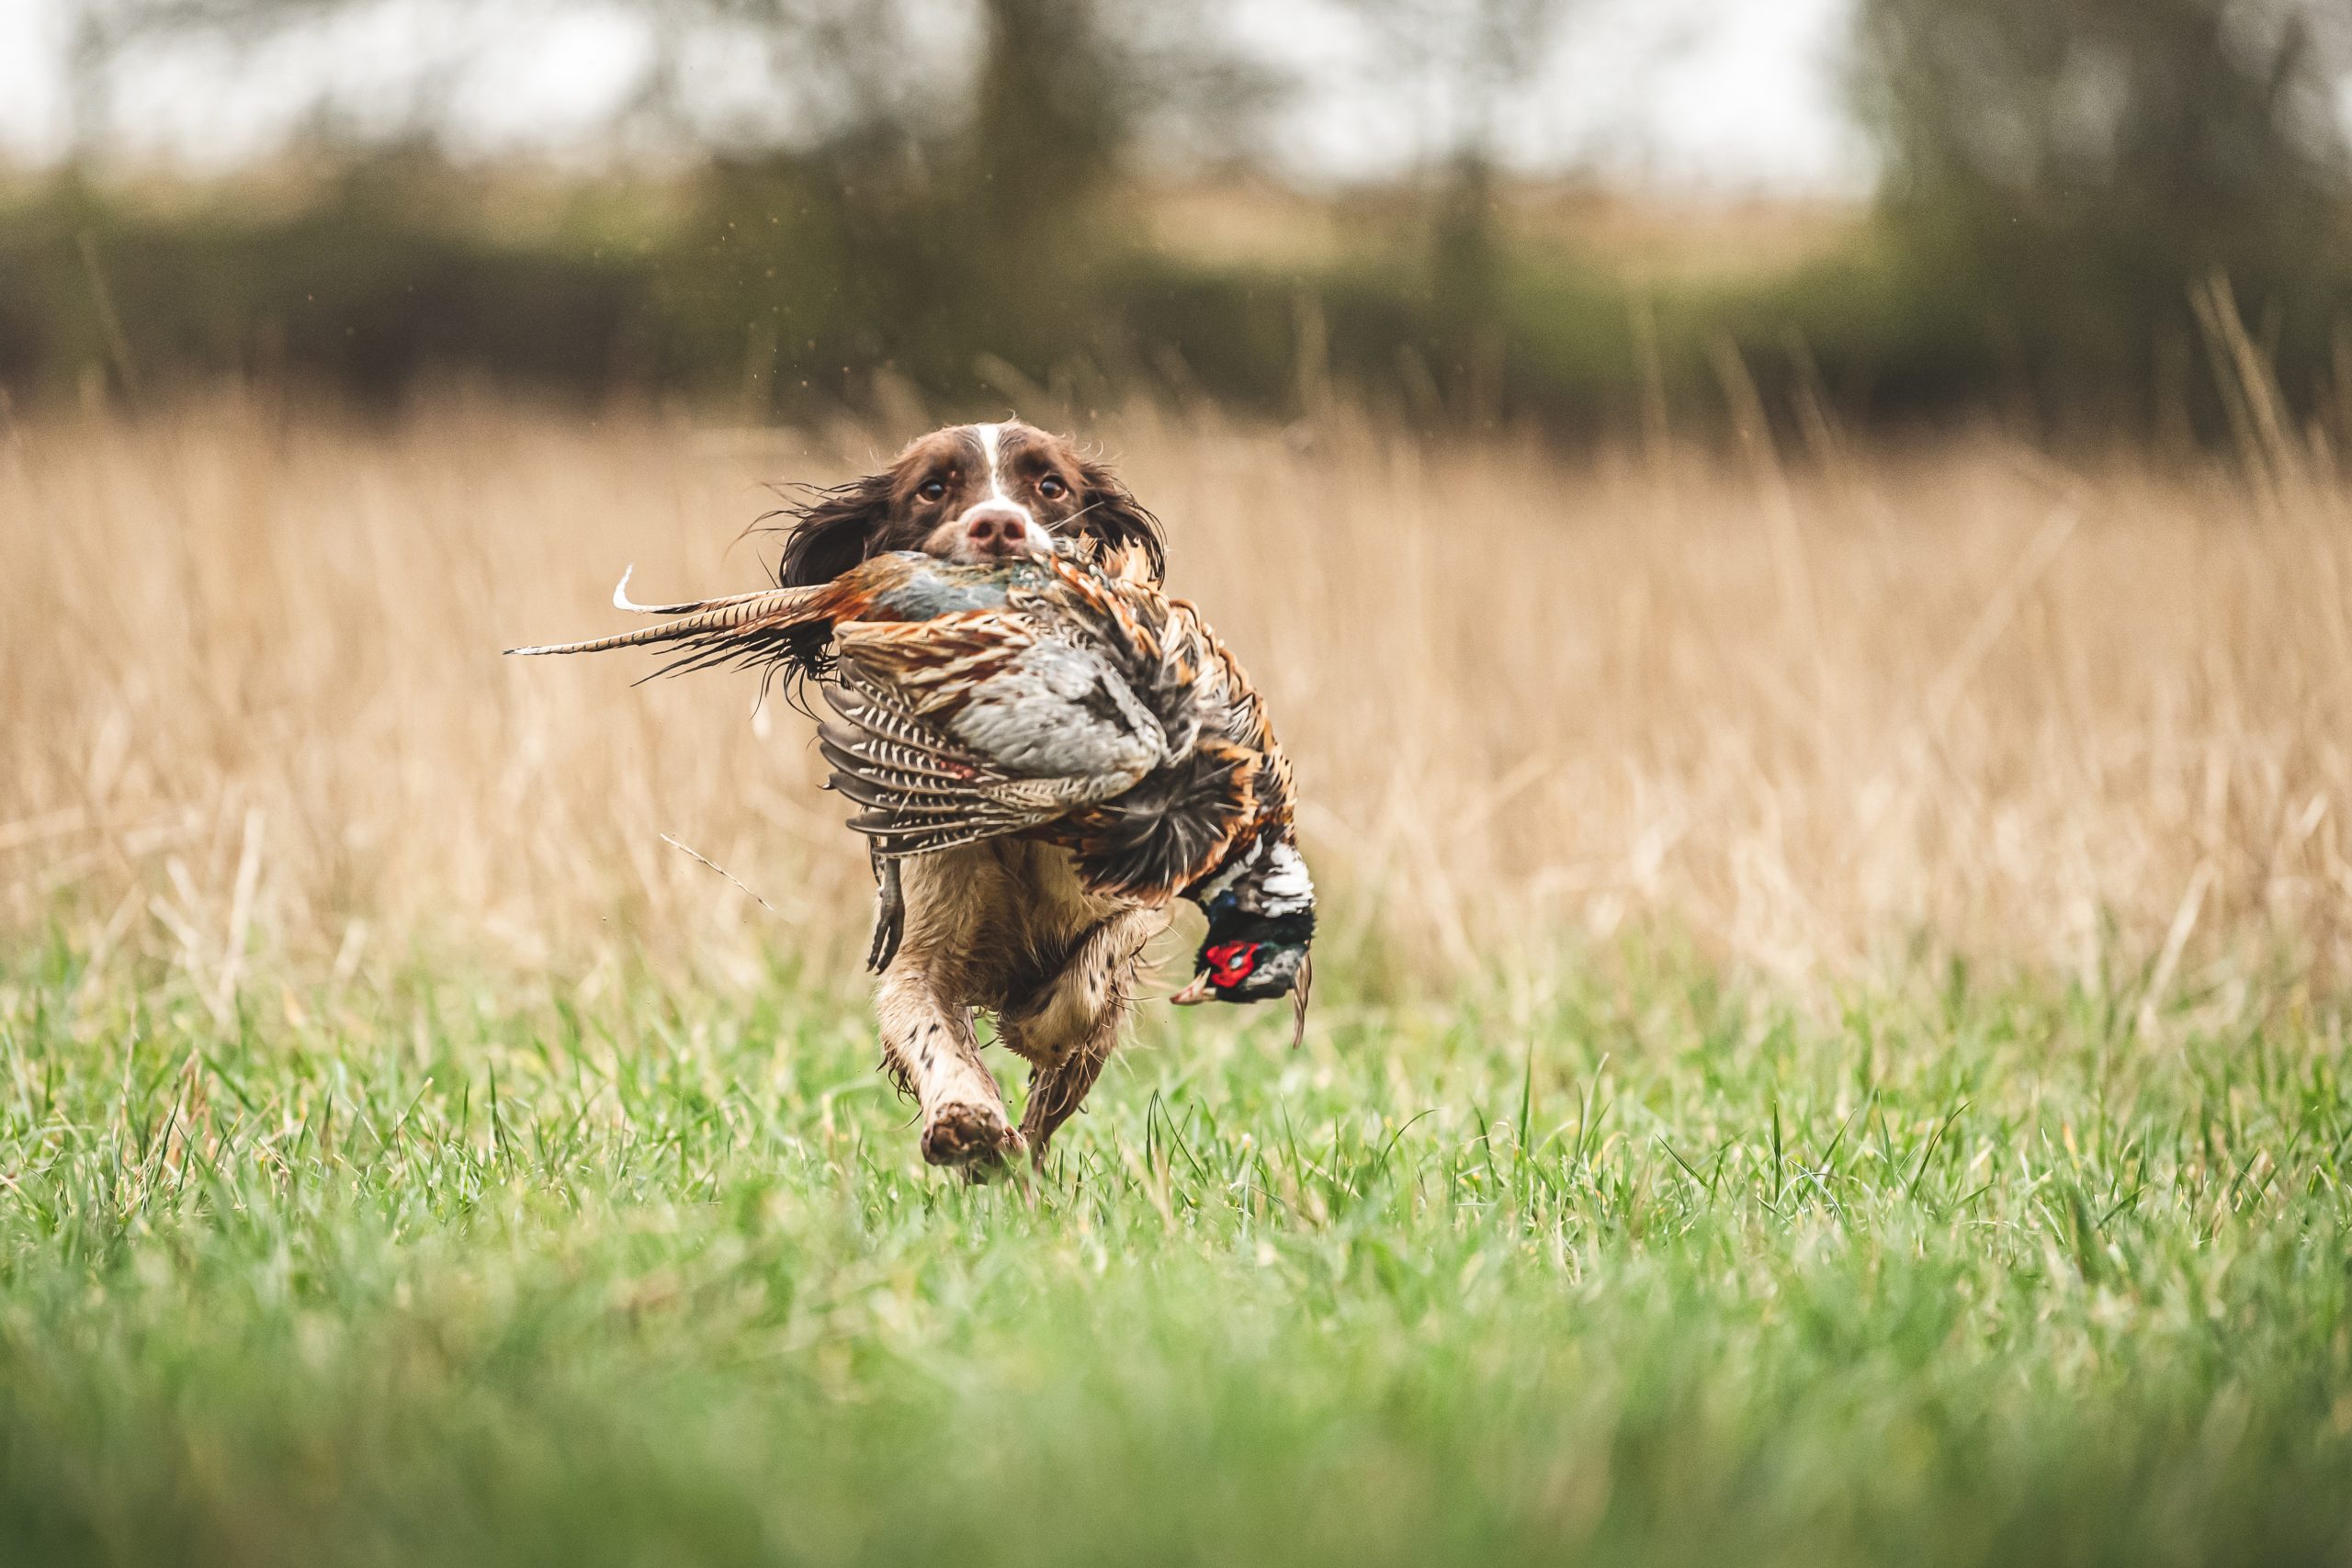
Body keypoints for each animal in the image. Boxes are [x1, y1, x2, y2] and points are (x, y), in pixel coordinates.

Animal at [775, 423, 1170, 1170]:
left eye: (1051, 485)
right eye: (932, 488)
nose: (998, 525)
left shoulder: (1128, 905)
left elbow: (1092, 976)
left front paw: (1035, 1025)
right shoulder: (918, 952)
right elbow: (928, 1028)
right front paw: (965, 1119)